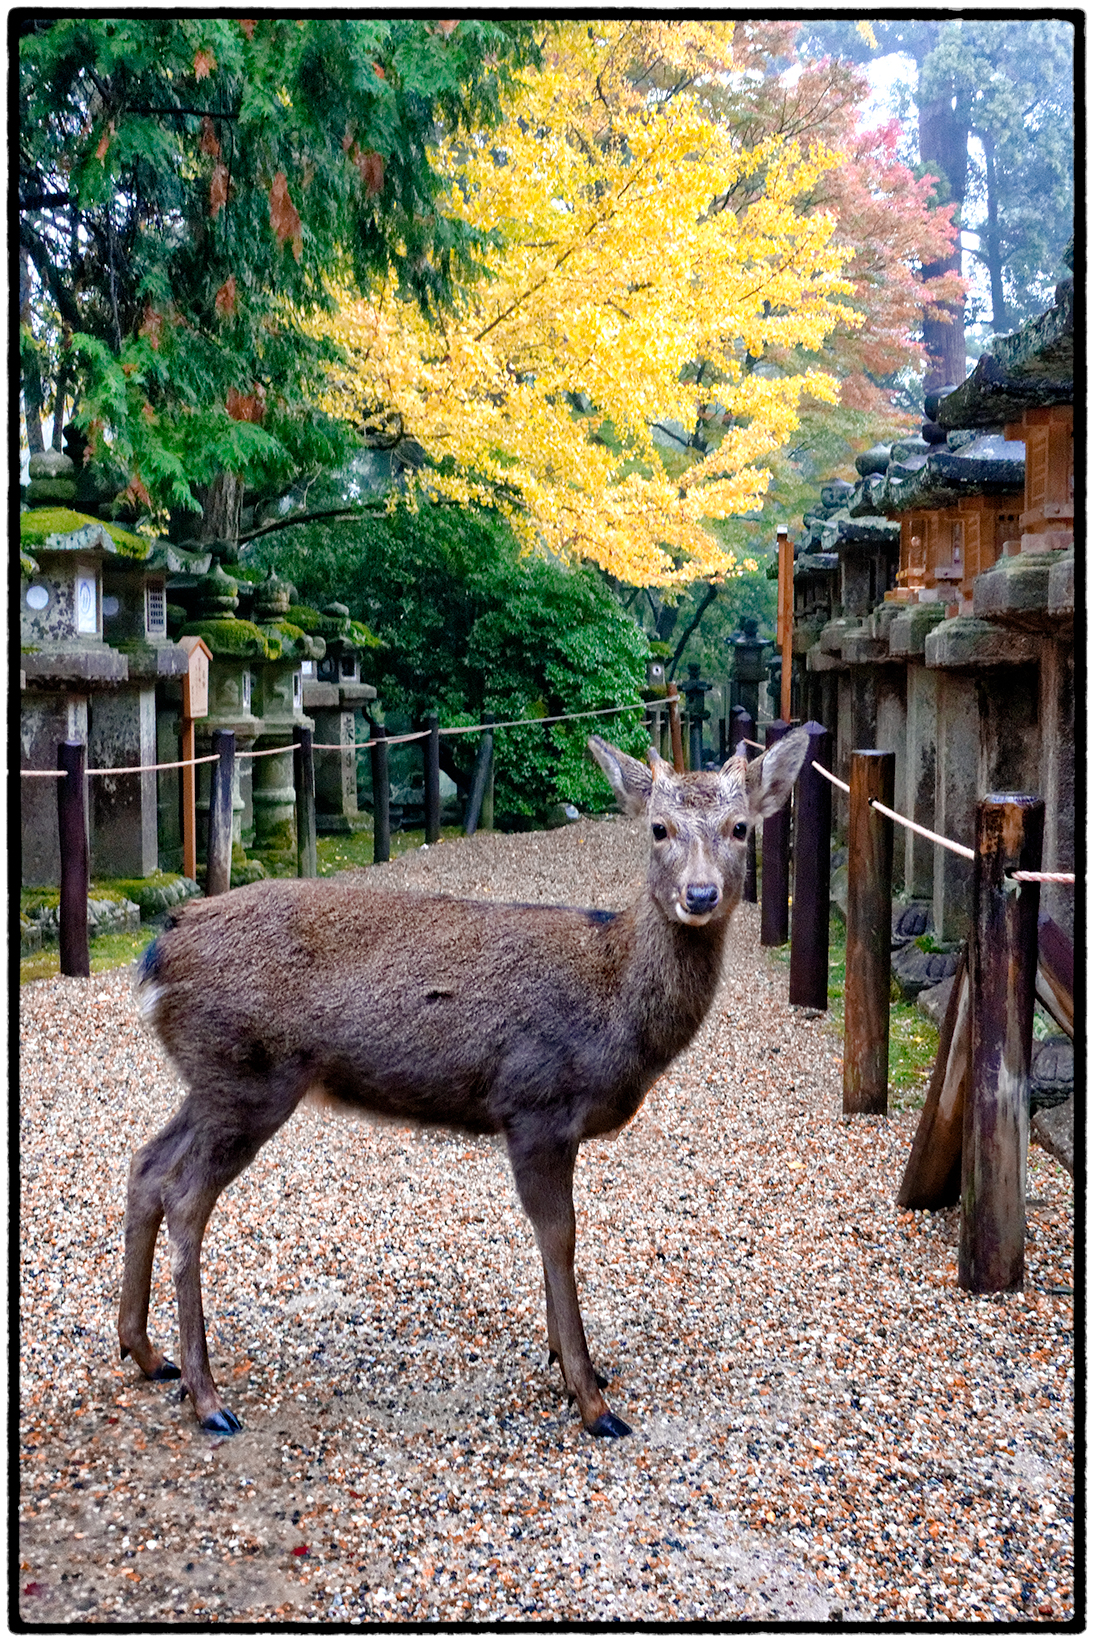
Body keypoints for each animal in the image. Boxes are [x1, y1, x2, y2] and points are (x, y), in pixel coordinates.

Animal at [121, 732, 801, 1438]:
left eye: (741, 827)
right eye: (658, 828)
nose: (700, 894)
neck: (614, 1010)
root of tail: (155, 960)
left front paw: (568, 1366)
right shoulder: (535, 1104)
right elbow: (560, 1237)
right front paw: (592, 1400)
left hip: (211, 1080)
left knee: (146, 1164)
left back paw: (147, 1355)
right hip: (247, 1076)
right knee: (185, 1196)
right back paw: (208, 1399)